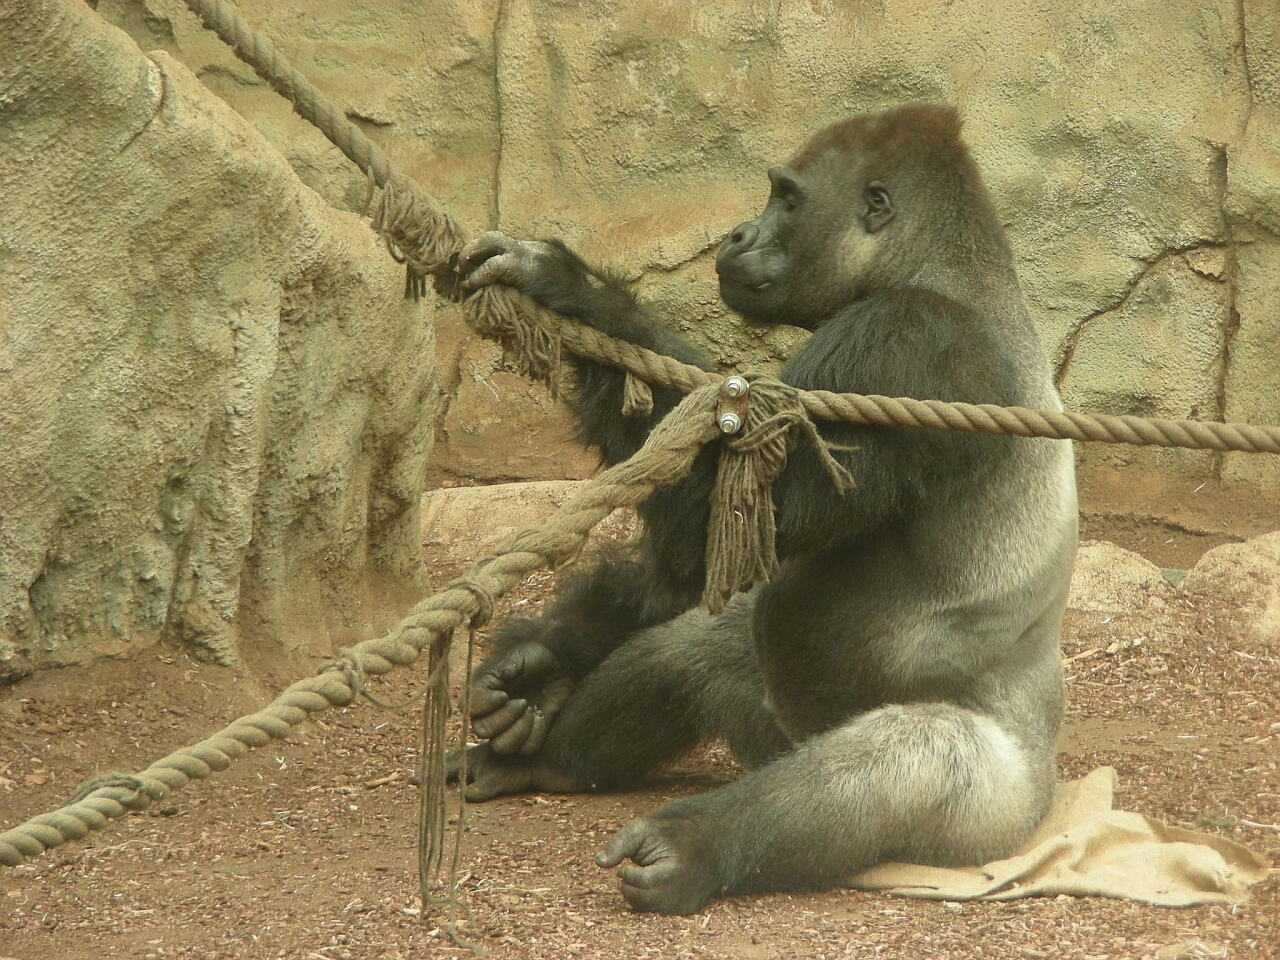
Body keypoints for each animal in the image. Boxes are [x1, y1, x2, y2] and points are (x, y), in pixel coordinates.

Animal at [449, 103, 1078, 916]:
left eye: (788, 198)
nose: (739, 235)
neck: (947, 273)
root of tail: (1046, 791)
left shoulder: (901, 344)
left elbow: (718, 528)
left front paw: (573, 287)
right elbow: (710, 563)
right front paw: (540, 659)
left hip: (993, 812)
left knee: (896, 766)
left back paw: (697, 846)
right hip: (775, 725)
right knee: (694, 652)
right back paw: (550, 763)